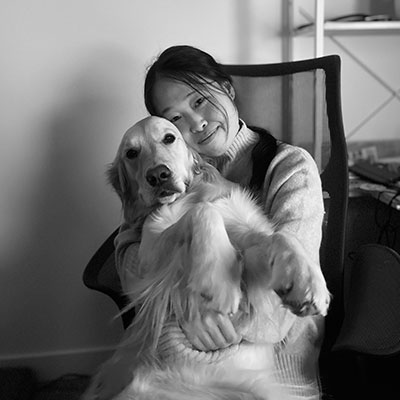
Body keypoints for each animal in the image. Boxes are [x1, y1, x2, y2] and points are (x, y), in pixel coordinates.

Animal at [83, 116, 328, 400]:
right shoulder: (148, 255)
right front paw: (217, 281)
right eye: (131, 153)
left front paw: (307, 284)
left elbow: (282, 238)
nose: (158, 175)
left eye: (169, 138)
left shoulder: (246, 238)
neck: (188, 195)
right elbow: (203, 211)